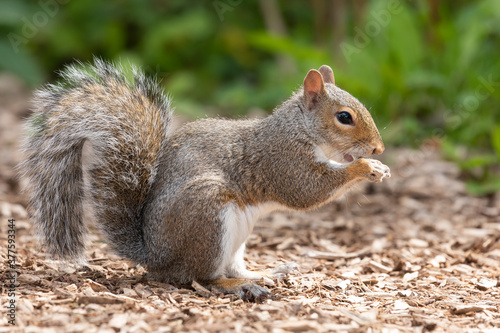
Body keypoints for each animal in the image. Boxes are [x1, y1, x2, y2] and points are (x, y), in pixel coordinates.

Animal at [21, 58, 390, 300]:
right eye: (344, 117)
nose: (379, 148)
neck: (299, 128)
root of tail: (155, 254)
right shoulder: (283, 161)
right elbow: (307, 191)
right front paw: (366, 167)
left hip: (234, 237)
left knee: (227, 268)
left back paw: (261, 273)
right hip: (208, 218)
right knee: (198, 278)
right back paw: (238, 286)